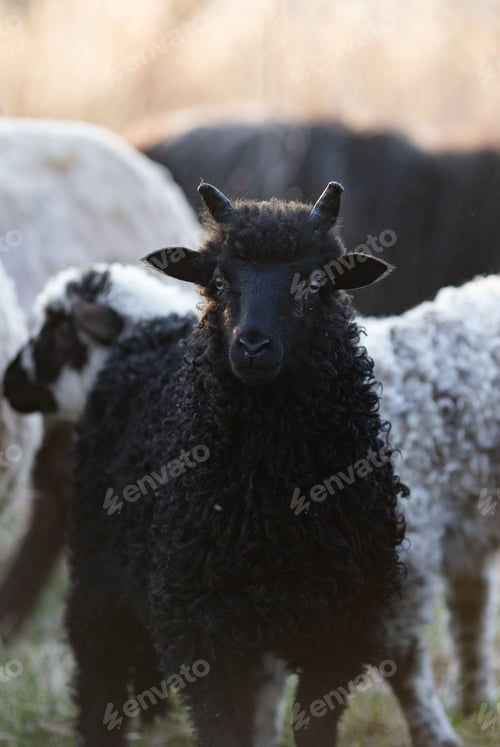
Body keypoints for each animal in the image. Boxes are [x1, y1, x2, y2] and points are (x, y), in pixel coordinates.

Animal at [67, 181, 407, 746]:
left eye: (315, 280)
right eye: (220, 278)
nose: (252, 345)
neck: (269, 493)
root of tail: (152, 325)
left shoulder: (341, 630)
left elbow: (314, 726)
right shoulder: (199, 626)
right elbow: (222, 726)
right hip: (97, 576)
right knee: (98, 683)